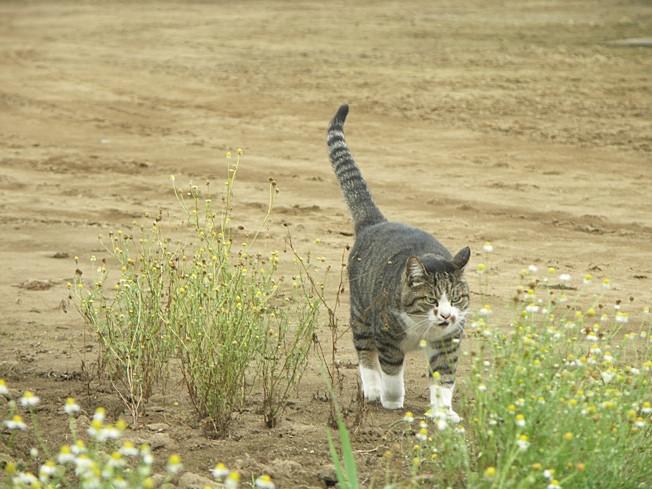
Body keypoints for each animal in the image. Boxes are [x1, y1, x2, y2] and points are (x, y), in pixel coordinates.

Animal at [327, 104, 470, 421]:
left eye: (455, 299)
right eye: (431, 300)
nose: (446, 315)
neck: (424, 328)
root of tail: (375, 222)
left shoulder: (448, 341)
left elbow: (444, 377)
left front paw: (443, 412)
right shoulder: (387, 336)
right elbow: (391, 371)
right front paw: (392, 401)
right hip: (361, 313)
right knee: (364, 352)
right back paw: (371, 388)